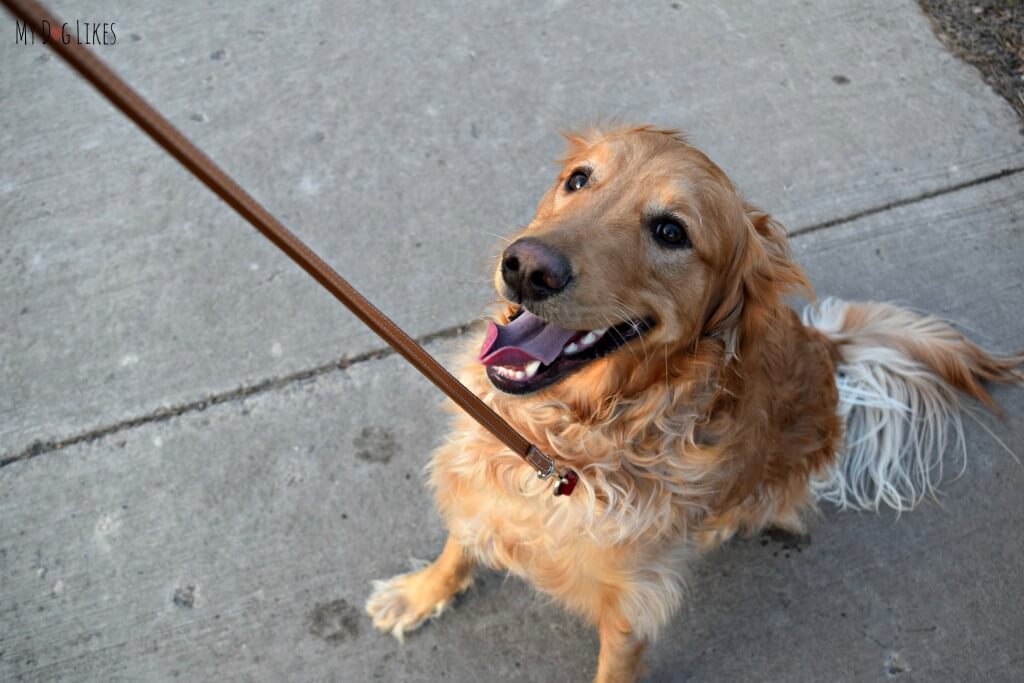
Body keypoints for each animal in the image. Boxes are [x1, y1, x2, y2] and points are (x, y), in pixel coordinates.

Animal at [364, 125, 1019, 679]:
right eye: (578, 179)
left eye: (671, 232)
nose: (526, 267)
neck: (563, 440)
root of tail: (828, 346)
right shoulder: (480, 487)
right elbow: (459, 547)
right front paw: (418, 593)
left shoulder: (635, 605)